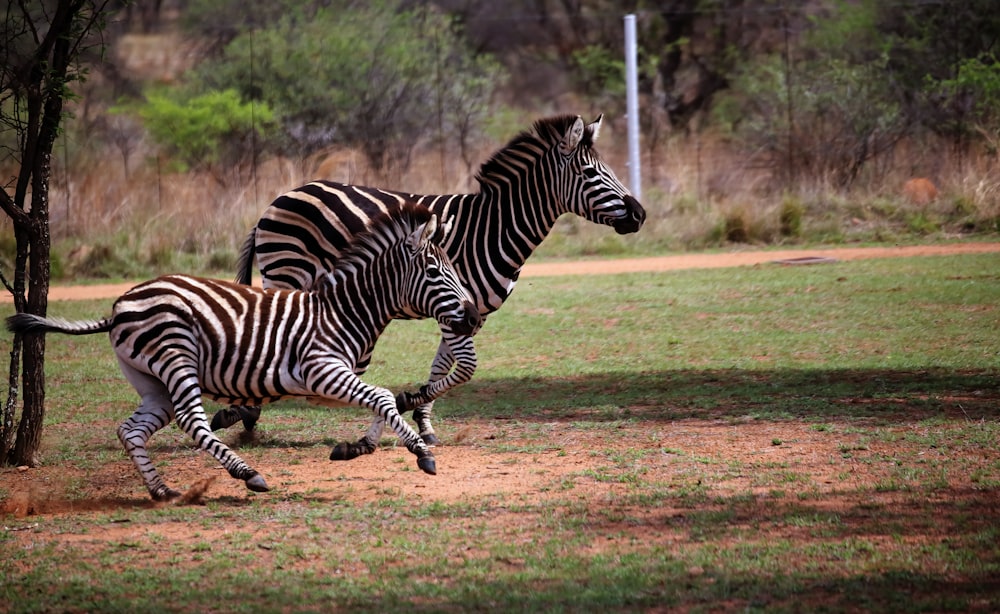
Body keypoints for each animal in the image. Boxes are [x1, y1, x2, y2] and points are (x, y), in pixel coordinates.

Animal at [3, 205, 480, 502]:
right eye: (435, 271)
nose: (474, 317)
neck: (342, 310)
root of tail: (119, 305)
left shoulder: (337, 376)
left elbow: (380, 399)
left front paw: (357, 446)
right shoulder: (319, 370)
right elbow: (381, 396)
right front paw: (421, 453)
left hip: (152, 380)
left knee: (132, 430)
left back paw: (162, 491)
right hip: (177, 357)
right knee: (192, 421)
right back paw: (247, 474)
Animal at [214, 113, 644, 454]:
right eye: (591, 174)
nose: (639, 214)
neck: (493, 229)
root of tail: (279, 199)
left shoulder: (468, 313)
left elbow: (443, 370)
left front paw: (420, 418)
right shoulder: (451, 308)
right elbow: (465, 369)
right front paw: (406, 404)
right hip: (284, 272)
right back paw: (242, 411)